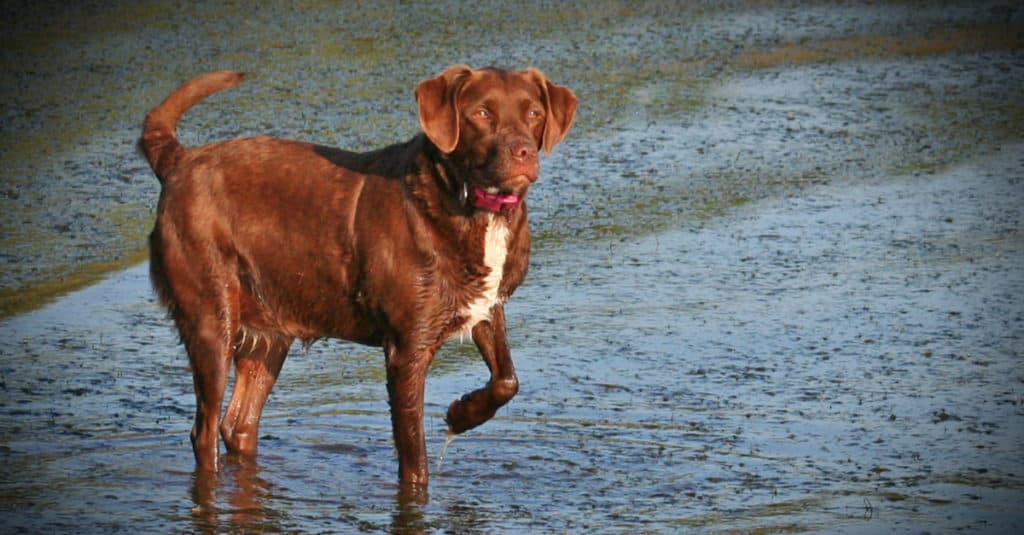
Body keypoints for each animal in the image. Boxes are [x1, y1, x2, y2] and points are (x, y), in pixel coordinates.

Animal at [140, 65, 577, 483]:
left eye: (534, 113)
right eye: (482, 114)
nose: (523, 151)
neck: (472, 207)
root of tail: (179, 160)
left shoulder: (486, 304)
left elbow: (507, 379)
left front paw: (460, 413)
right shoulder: (406, 347)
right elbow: (414, 457)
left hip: (268, 333)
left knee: (239, 424)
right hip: (210, 316)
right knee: (204, 430)